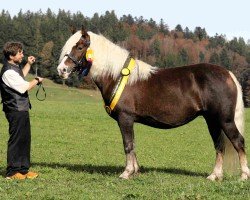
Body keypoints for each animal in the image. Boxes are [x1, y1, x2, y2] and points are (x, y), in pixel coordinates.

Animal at [57, 27, 250, 180]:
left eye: (80, 47)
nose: (62, 70)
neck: (118, 75)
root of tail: (228, 73)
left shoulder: (125, 118)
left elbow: (128, 144)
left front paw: (127, 173)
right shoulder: (129, 120)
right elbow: (133, 144)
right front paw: (135, 170)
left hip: (225, 120)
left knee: (238, 141)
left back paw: (243, 176)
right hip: (212, 121)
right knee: (219, 145)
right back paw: (214, 176)